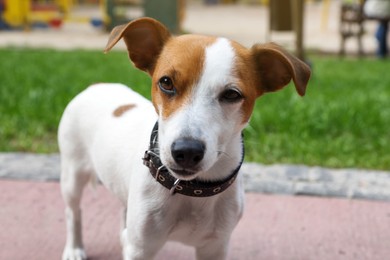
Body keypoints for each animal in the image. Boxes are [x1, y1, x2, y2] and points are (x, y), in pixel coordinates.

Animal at [58, 17, 310, 258]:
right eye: (166, 82)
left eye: (232, 94)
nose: (187, 151)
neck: (191, 190)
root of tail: (96, 84)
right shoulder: (141, 248)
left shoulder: (215, 247)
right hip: (72, 174)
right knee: (73, 212)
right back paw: (74, 248)